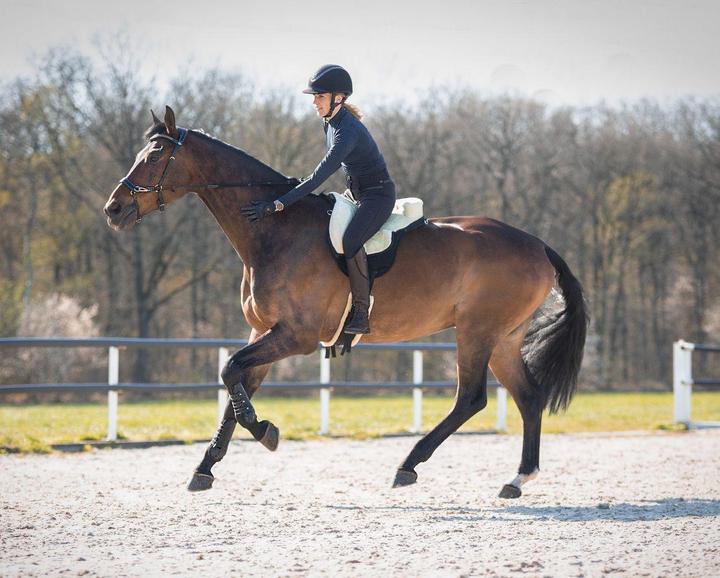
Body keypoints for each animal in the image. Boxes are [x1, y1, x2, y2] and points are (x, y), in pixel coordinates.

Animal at [103, 106, 588, 498]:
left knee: (470, 400)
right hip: (504, 338)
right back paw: (518, 479)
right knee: (528, 396)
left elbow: (230, 372)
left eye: (154, 157)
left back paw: (408, 465)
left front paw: (265, 431)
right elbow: (235, 384)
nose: (113, 209)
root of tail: (538, 244)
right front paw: (205, 468)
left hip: (477, 332)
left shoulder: (295, 336)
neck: (273, 232)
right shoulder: (263, 331)